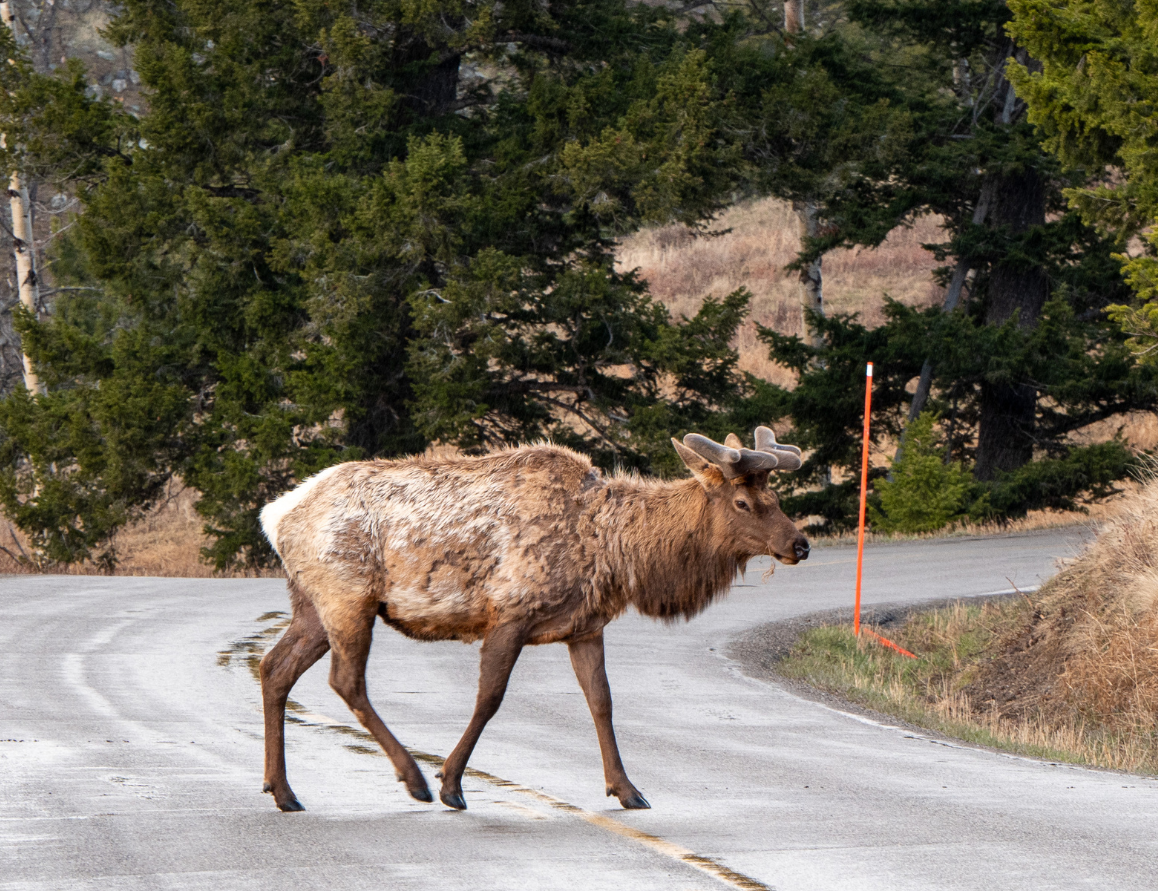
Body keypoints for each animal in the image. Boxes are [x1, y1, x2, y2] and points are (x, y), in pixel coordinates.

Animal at [260, 426, 805, 811]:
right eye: (742, 502)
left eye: (776, 499)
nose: (799, 544)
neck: (616, 551)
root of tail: (275, 515)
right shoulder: (510, 613)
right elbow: (489, 698)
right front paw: (451, 784)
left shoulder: (585, 626)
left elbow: (602, 702)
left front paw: (627, 789)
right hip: (348, 596)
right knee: (346, 679)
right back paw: (413, 779)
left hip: (313, 606)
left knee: (274, 668)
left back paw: (283, 791)